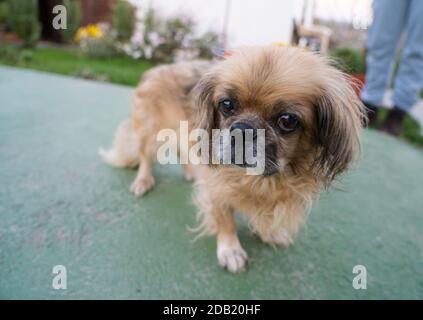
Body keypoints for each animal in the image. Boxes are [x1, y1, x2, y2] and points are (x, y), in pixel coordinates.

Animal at [100, 45, 368, 272]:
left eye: (288, 121)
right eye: (226, 105)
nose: (242, 129)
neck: (263, 180)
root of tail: (155, 70)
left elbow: (267, 216)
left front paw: (270, 233)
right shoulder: (217, 188)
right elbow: (225, 219)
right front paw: (230, 250)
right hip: (152, 133)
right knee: (146, 158)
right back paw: (143, 181)